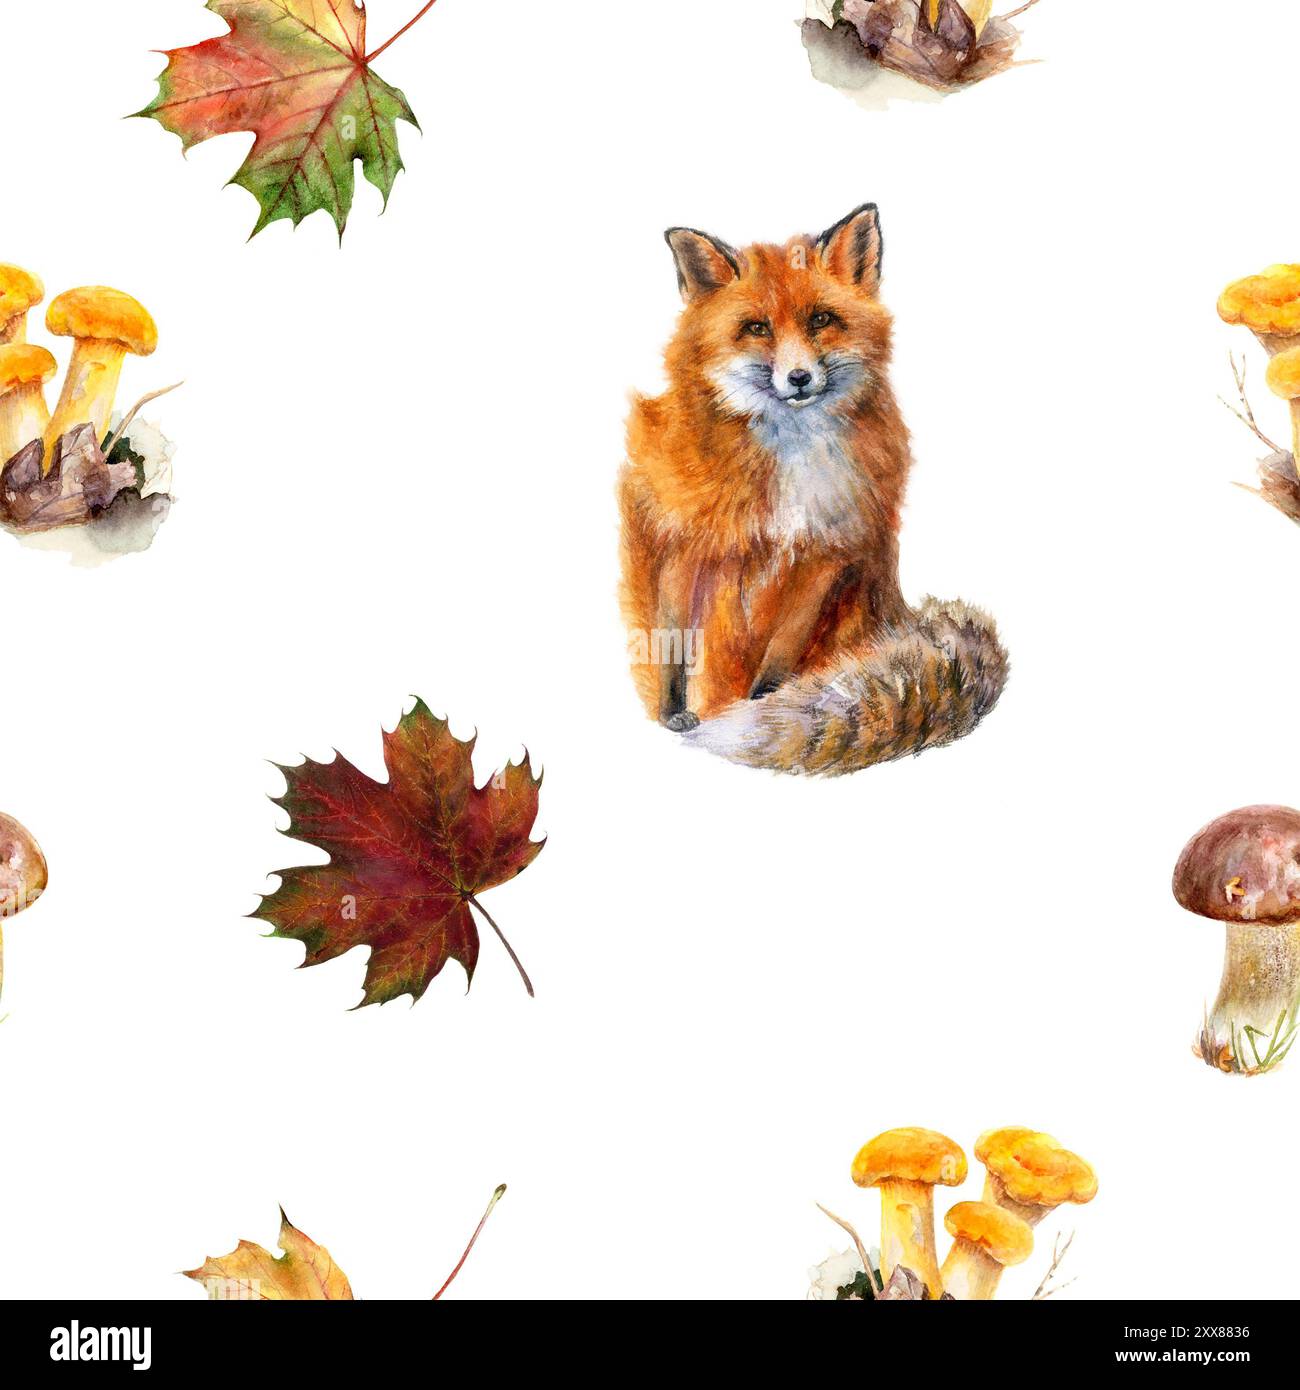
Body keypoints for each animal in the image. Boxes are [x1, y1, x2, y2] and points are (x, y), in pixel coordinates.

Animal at [619, 204, 1007, 775]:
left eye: (821, 320)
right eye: (756, 328)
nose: (799, 378)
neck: (791, 459)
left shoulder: (828, 552)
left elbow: (781, 653)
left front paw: (764, 704)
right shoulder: (682, 543)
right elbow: (671, 643)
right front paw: (673, 714)